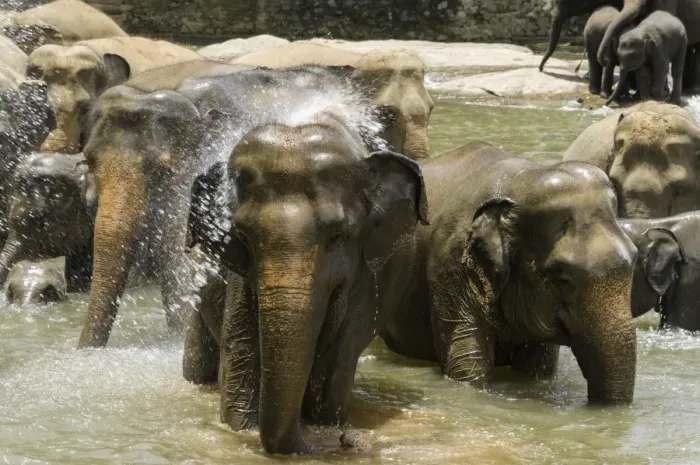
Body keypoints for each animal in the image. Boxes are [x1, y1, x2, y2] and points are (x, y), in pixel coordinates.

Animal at [184, 97, 427, 454]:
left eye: (337, 237)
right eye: (243, 238)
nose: (345, 443)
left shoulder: (366, 275)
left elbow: (332, 370)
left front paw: (322, 426)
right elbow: (241, 366)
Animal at [379, 141, 637, 405]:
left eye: (635, 259)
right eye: (563, 279)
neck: (520, 180)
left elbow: (537, 365)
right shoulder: (450, 263)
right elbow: (465, 361)